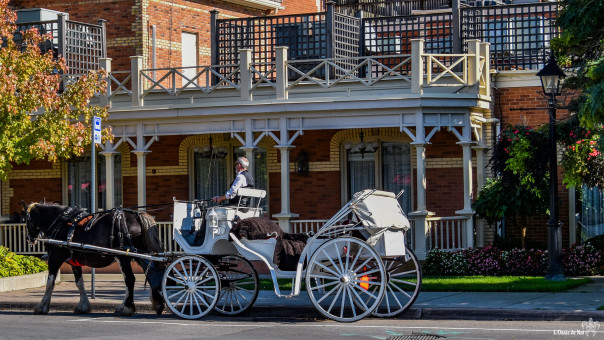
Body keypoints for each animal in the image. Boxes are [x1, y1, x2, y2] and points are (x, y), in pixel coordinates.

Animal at [24, 202, 165, 316]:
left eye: (26, 220)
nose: (28, 239)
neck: (59, 223)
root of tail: (137, 215)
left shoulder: (55, 257)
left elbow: (50, 282)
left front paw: (42, 306)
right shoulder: (74, 262)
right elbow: (79, 282)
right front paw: (83, 306)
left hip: (123, 256)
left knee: (130, 279)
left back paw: (126, 307)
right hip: (141, 254)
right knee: (154, 273)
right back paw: (158, 302)